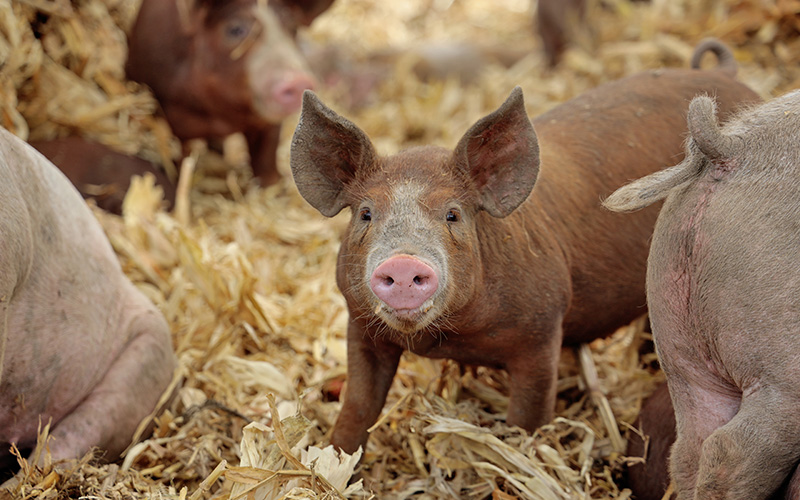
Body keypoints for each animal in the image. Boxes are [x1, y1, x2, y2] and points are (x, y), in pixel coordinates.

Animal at [125, 0, 334, 187]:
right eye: (235, 29)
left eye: (294, 29)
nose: (298, 81)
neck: (223, 118)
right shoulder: (170, 116)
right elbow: (179, 158)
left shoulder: (268, 125)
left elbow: (265, 160)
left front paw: (272, 185)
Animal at [289, 40, 760, 454]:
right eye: (366, 214)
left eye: (453, 215)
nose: (404, 263)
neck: (447, 338)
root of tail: (726, 74)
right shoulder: (360, 323)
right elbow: (358, 404)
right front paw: (336, 458)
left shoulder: (542, 326)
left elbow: (529, 415)